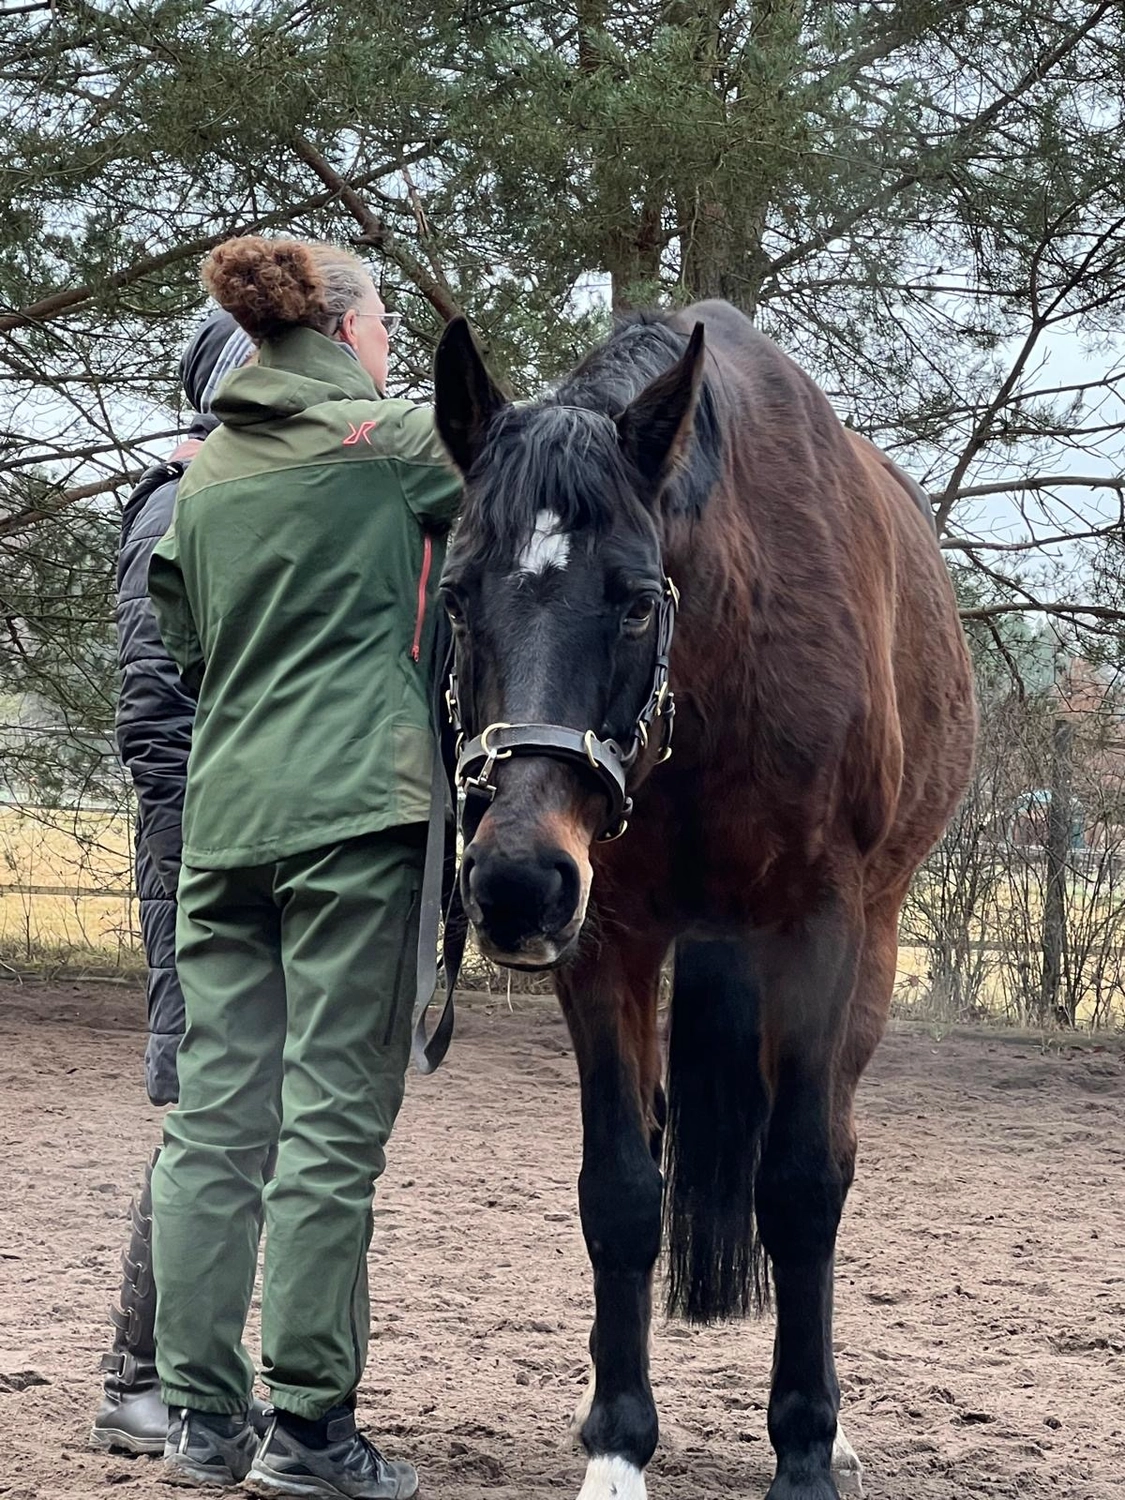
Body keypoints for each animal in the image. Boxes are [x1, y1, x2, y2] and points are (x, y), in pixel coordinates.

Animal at [432, 299, 976, 1500]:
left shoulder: (817, 928)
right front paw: (616, 1445)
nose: (515, 883)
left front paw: (807, 1450)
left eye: (638, 602)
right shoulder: (609, 943)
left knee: (829, 1149)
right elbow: (621, 1192)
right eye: (455, 593)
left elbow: (803, 1185)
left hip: (868, 949)